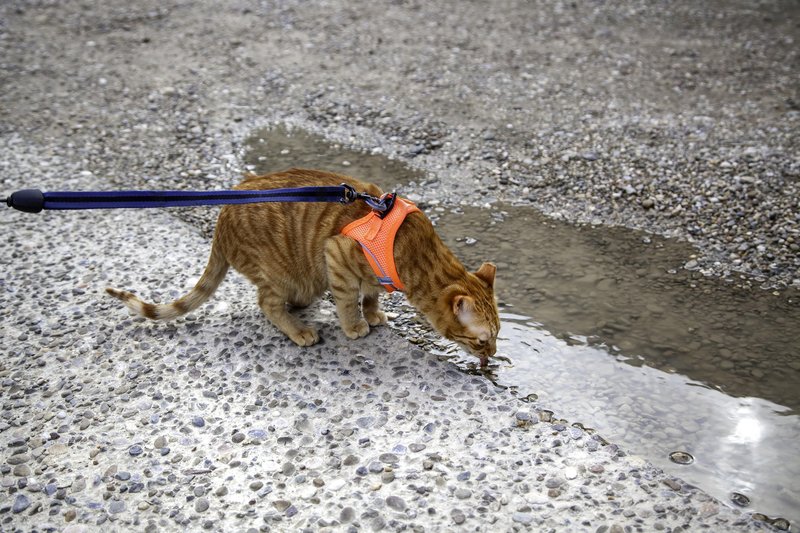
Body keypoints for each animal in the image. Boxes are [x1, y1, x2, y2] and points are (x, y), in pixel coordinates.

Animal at [103, 168, 496, 364]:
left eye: (496, 338)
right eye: (482, 341)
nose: (492, 355)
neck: (415, 251)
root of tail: (223, 214)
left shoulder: (372, 275)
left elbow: (371, 295)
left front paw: (373, 314)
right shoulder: (337, 254)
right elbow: (349, 301)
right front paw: (355, 325)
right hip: (282, 273)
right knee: (267, 303)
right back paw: (298, 329)